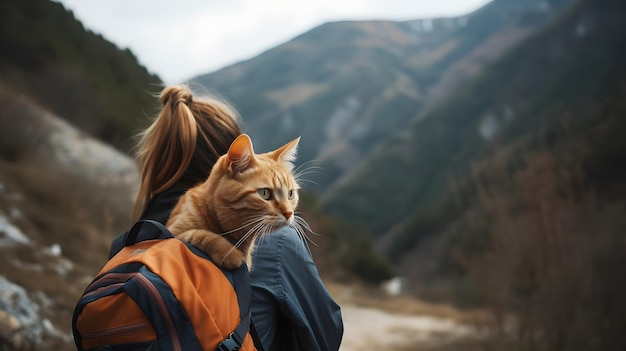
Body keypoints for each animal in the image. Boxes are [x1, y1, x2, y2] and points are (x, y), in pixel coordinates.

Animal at [165, 133, 302, 270]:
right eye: (264, 193)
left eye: (290, 194)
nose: (289, 213)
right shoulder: (173, 233)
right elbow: (196, 234)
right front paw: (229, 252)